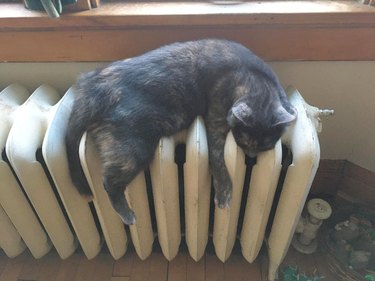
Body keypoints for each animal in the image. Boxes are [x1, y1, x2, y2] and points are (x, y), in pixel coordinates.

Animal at [66, 38, 298, 224]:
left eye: (265, 145)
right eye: (243, 140)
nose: (250, 156)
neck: (253, 76)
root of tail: (94, 85)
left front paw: (292, 109)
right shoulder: (215, 122)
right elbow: (217, 158)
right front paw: (224, 191)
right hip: (134, 148)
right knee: (109, 181)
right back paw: (127, 214)